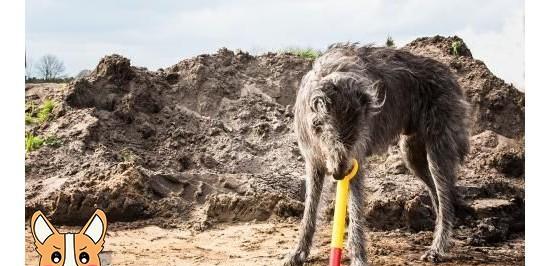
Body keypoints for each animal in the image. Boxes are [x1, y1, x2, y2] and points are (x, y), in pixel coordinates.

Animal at [286, 42, 472, 264]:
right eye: (325, 128)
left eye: (358, 132)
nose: (340, 173)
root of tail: (449, 73)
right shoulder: (314, 161)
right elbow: (310, 210)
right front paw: (299, 252)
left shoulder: (355, 160)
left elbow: (356, 211)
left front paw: (358, 257)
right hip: (412, 153)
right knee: (438, 195)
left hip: (438, 149)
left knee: (445, 197)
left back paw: (438, 247)